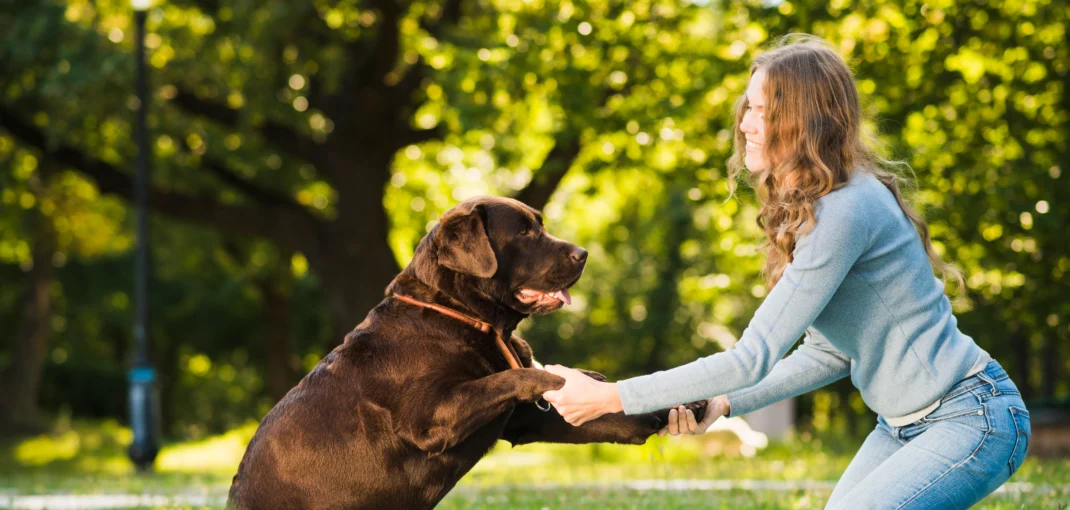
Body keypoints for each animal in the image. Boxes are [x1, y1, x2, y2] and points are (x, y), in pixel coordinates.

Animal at [230, 197, 706, 508]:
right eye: (523, 232)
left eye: (540, 225)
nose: (583, 254)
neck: (461, 315)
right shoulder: (430, 417)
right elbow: (514, 376)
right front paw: (569, 379)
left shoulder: (526, 419)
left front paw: (685, 404)